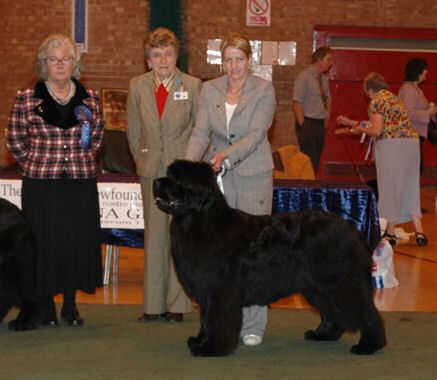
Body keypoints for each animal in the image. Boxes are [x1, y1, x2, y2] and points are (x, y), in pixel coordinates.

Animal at [152, 160, 384, 356]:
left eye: (176, 178)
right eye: (168, 174)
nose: (155, 182)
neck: (199, 221)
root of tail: (351, 229)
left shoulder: (220, 291)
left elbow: (216, 319)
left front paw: (212, 348)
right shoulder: (206, 290)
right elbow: (205, 319)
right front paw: (200, 340)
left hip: (341, 283)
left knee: (364, 311)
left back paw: (369, 345)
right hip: (318, 286)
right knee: (333, 312)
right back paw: (323, 335)